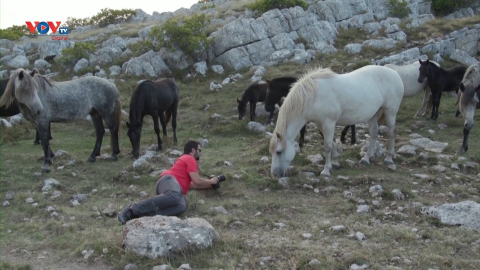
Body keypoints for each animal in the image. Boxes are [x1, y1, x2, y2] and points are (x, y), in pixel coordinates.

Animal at [270, 65, 404, 178]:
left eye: (279, 152)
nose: (275, 174)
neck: (313, 97)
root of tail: (394, 73)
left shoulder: (329, 122)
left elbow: (327, 146)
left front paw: (326, 171)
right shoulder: (320, 123)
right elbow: (330, 142)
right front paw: (335, 162)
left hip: (390, 111)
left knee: (392, 132)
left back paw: (389, 158)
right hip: (373, 114)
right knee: (374, 133)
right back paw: (366, 158)